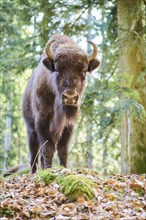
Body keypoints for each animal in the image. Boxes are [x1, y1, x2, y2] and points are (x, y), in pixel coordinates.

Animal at [22, 33, 100, 173]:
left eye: (84, 71)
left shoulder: (68, 125)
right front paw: (48, 170)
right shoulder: (42, 122)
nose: (70, 97)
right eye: (57, 70)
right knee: (33, 154)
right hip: (30, 131)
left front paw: (63, 168)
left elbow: (62, 150)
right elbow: (48, 149)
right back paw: (34, 172)